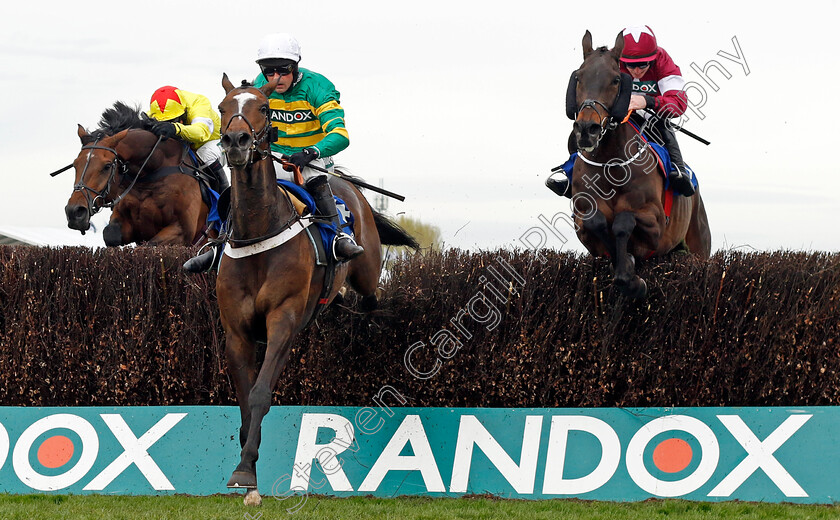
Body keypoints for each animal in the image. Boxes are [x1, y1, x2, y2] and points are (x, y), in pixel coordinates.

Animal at [65, 104, 213, 248]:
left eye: (107, 166)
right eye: (75, 165)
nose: (74, 212)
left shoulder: (183, 230)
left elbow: (150, 245)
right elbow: (110, 235)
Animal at [213, 74, 416, 504]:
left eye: (263, 107)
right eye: (223, 107)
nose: (236, 141)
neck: (259, 230)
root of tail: (348, 184)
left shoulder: (284, 321)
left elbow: (260, 393)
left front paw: (245, 469)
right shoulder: (236, 332)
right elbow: (244, 397)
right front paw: (247, 469)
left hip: (366, 270)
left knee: (369, 299)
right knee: (337, 301)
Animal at [564, 30, 708, 298]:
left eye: (615, 80)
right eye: (578, 77)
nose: (587, 129)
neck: (610, 164)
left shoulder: (657, 224)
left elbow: (624, 221)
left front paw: (632, 279)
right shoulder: (582, 222)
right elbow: (596, 221)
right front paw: (624, 265)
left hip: (699, 244)